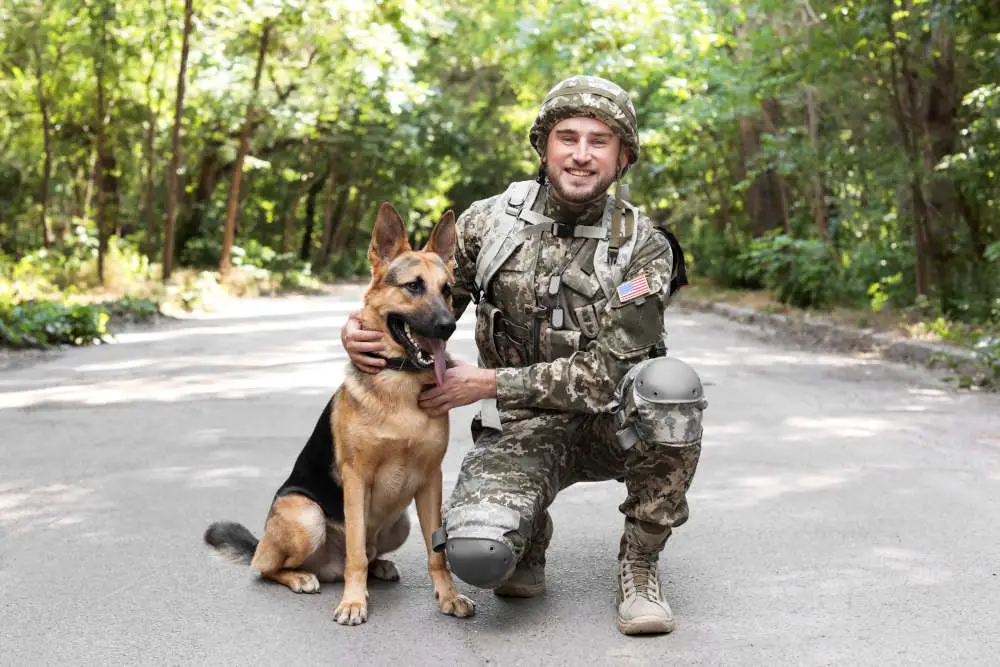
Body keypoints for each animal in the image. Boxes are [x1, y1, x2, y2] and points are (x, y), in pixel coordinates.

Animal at [203, 204, 476, 628]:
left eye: (447, 289)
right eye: (414, 286)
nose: (448, 326)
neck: (400, 380)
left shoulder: (431, 480)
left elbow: (437, 552)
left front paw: (448, 596)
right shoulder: (356, 480)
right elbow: (355, 554)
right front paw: (353, 603)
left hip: (400, 523)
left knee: (368, 551)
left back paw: (379, 567)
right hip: (306, 516)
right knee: (268, 568)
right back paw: (301, 577)